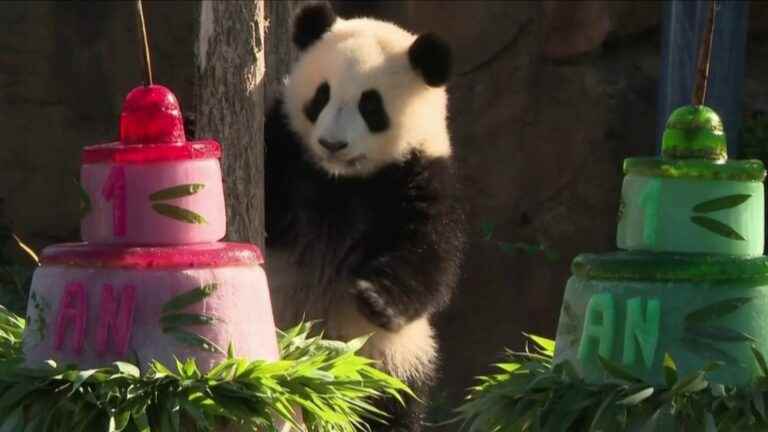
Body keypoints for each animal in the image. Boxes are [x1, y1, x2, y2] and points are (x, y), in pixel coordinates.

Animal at [264, 2, 468, 428]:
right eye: (321, 95)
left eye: (370, 105)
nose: (332, 144)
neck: (342, 180)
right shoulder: (288, 148)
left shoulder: (423, 173)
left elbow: (430, 260)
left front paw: (376, 299)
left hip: (392, 360)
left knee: (395, 407)